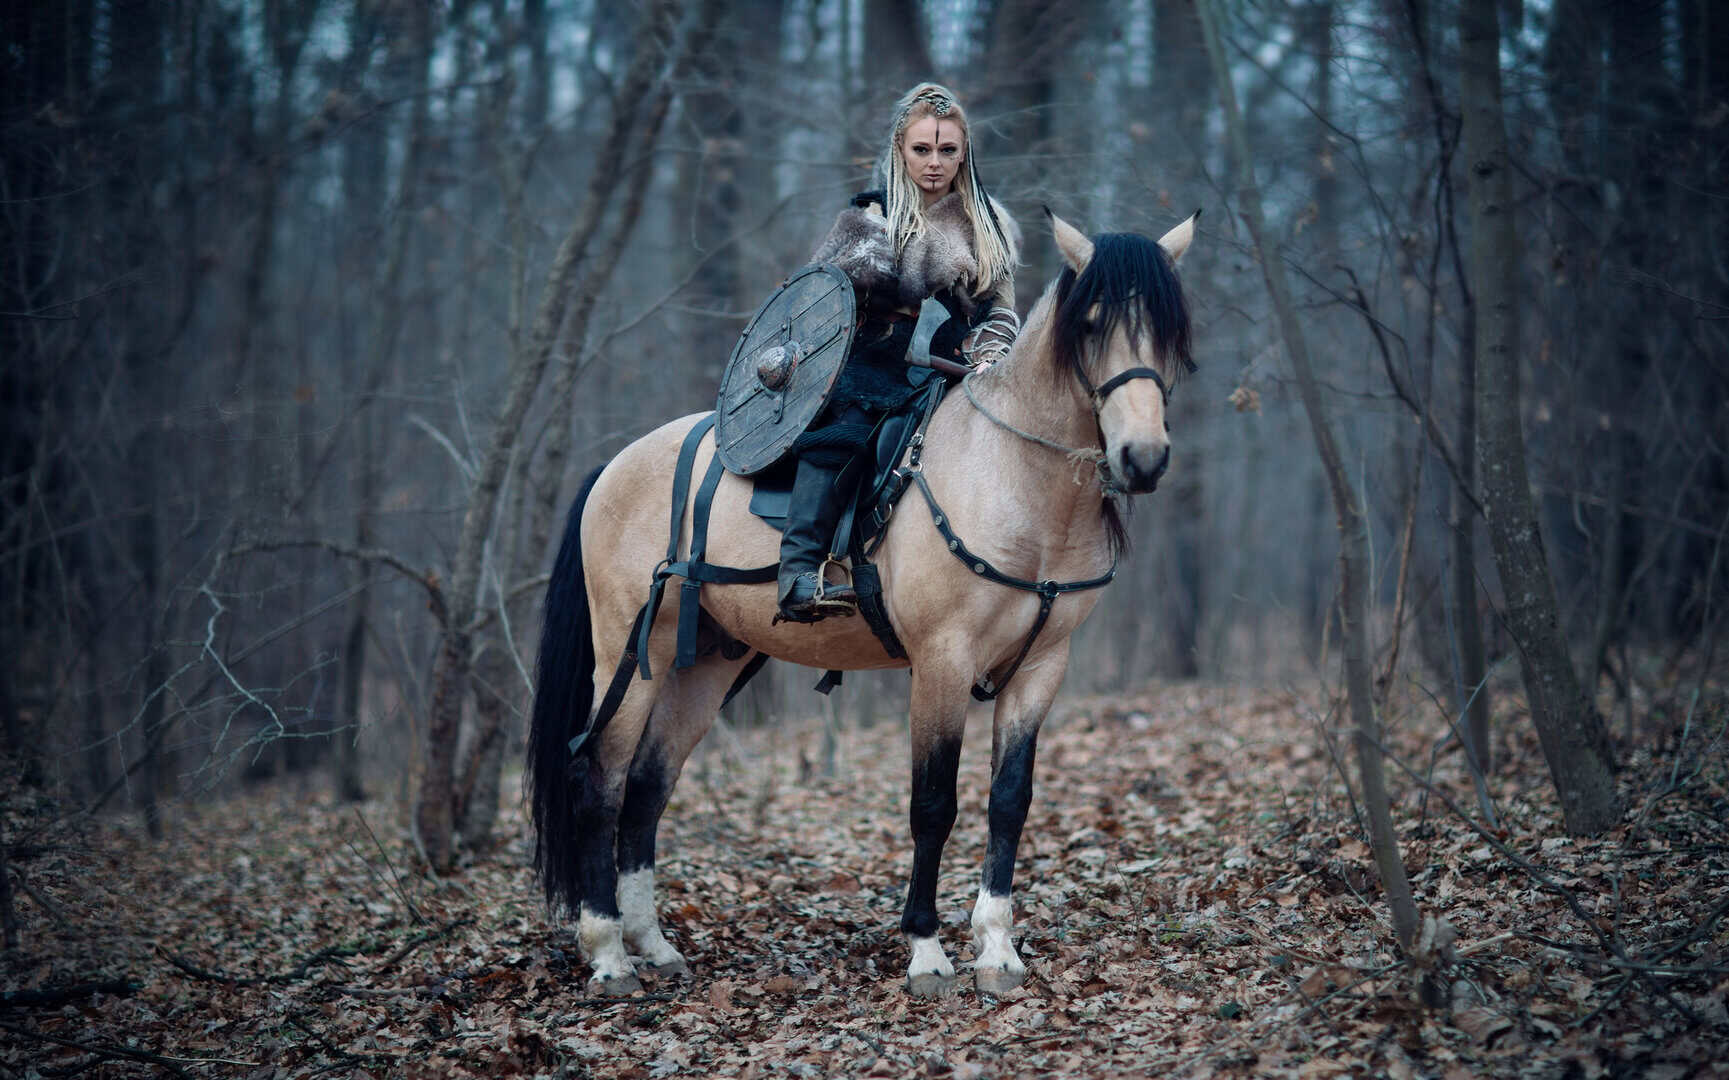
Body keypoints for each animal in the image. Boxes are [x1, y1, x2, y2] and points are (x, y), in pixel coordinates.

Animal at [527, 210, 1198, 998]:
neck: (1014, 479)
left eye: (1169, 329)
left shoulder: (1040, 670)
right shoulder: (941, 663)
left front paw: (997, 948)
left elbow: (1009, 802)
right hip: (632, 657)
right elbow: (932, 805)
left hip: (705, 667)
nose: (1142, 459)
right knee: (597, 782)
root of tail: (616, 466)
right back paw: (607, 953)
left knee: (644, 788)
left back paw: (652, 944)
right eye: (1090, 325)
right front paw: (928, 950)